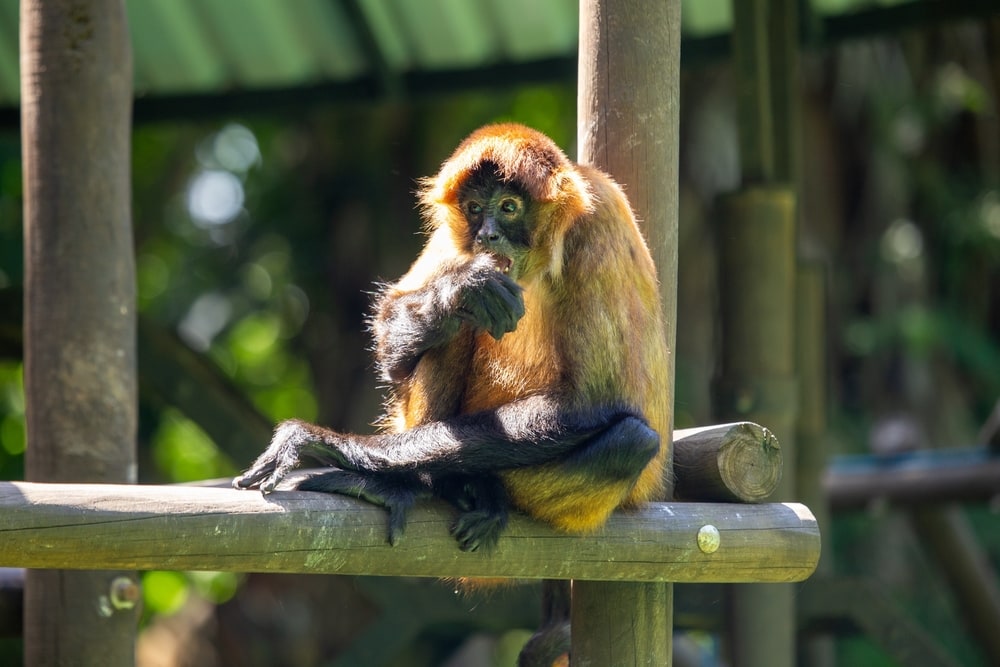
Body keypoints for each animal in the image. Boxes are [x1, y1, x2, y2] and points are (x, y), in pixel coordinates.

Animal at [234, 123, 672, 553]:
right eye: (475, 209)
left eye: (509, 207)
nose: (488, 235)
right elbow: (394, 332)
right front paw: (460, 292)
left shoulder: (596, 221)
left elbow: (592, 400)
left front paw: (327, 444)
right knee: (452, 331)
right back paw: (429, 483)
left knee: (632, 441)